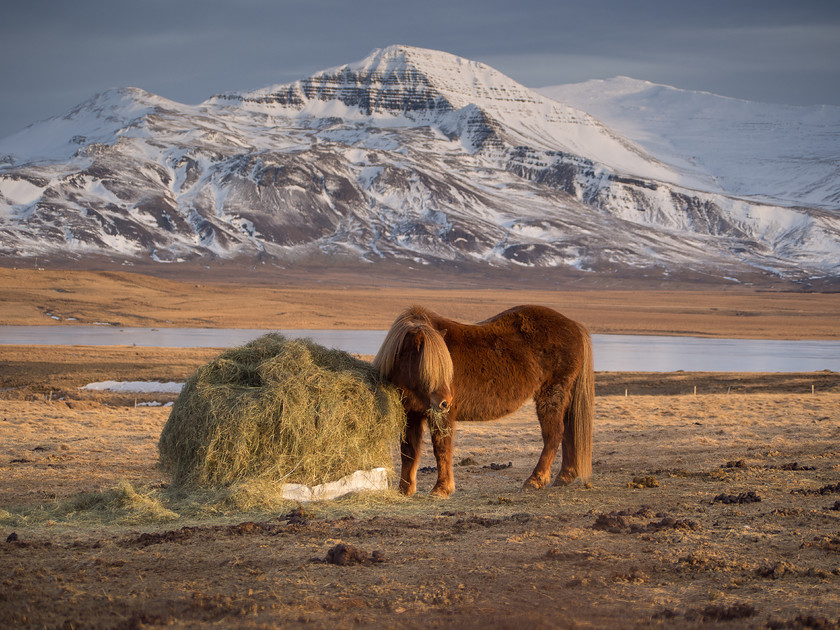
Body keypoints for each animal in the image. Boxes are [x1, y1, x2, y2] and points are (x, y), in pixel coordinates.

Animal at [370, 306, 592, 498]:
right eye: (427, 367)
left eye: (444, 366)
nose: (445, 402)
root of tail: (574, 326)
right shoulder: (411, 414)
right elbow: (408, 451)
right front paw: (404, 490)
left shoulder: (442, 418)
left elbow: (441, 449)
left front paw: (441, 489)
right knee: (568, 432)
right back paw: (564, 477)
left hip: (551, 396)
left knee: (554, 435)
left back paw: (535, 480)